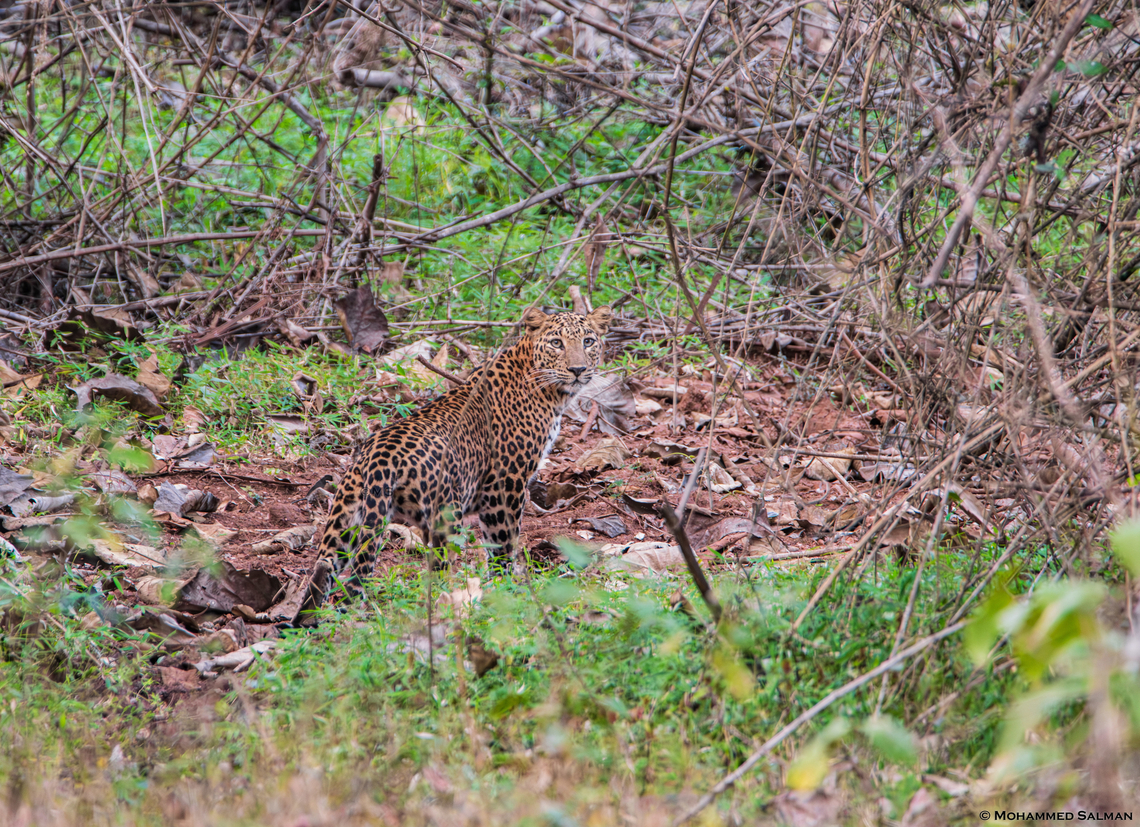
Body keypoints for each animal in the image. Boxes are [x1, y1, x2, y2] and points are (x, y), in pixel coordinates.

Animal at [300, 305, 612, 614]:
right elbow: (501, 543)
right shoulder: (504, 484)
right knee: (437, 571)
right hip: (446, 515)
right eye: (557, 343)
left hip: (346, 517)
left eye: (588, 341)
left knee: (323, 568)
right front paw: (505, 589)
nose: (577, 370)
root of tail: (381, 456)